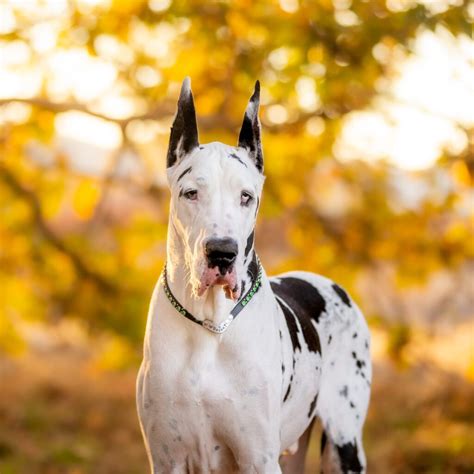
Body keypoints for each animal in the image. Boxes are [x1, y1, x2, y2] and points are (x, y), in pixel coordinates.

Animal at [135, 78, 372, 474]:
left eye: (246, 196)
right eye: (191, 193)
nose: (222, 252)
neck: (211, 325)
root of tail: (331, 284)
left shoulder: (257, 457)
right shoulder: (167, 458)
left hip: (344, 443)